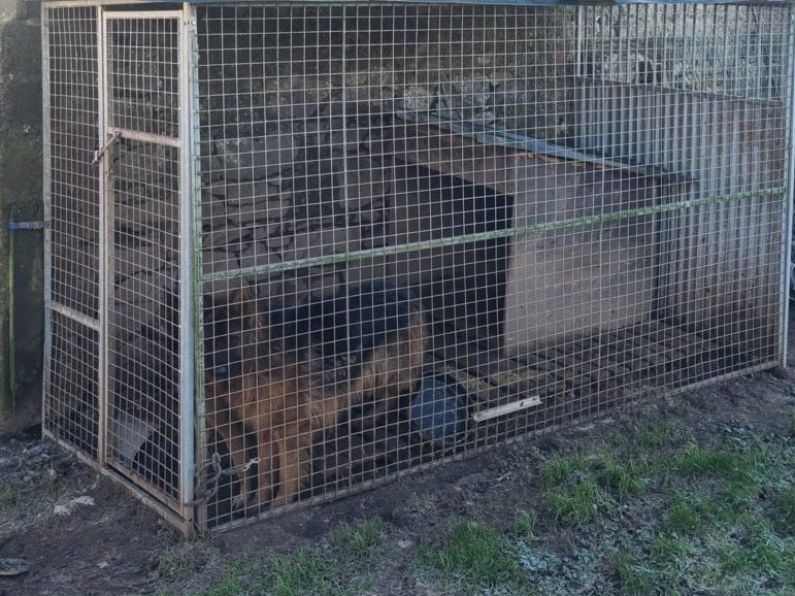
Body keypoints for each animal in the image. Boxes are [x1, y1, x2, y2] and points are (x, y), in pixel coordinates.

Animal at [205, 280, 430, 508]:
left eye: (232, 339)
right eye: (208, 344)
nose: (220, 371)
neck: (261, 359)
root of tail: (401, 288)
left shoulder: (289, 428)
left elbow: (287, 472)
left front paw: (280, 505)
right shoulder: (265, 426)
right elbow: (265, 471)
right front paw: (258, 502)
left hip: (388, 365)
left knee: (397, 391)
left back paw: (371, 417)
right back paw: (367, 419)